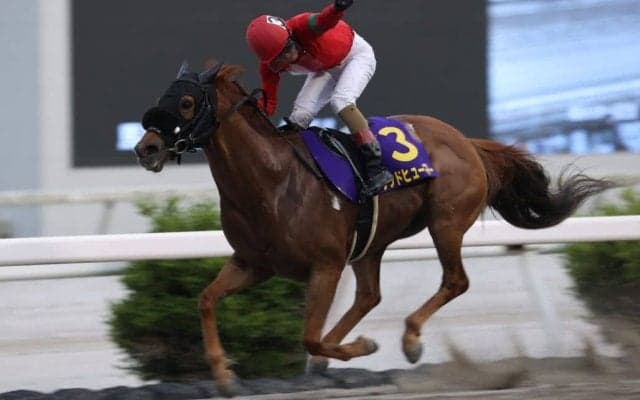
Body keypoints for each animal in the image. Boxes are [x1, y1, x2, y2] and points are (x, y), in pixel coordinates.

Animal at [134, 61, 615, 396]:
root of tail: (467, 141)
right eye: (164, 96)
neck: (270, 180)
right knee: (370, 295)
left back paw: (410, 340)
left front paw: (363, 348)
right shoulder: (253, 263)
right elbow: (206, 300)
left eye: (186, 103)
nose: (146, 148)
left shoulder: (325, 265)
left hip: (445, 221)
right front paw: (223, 374)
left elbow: (309, 336)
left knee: (454, 281)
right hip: (371, 243)